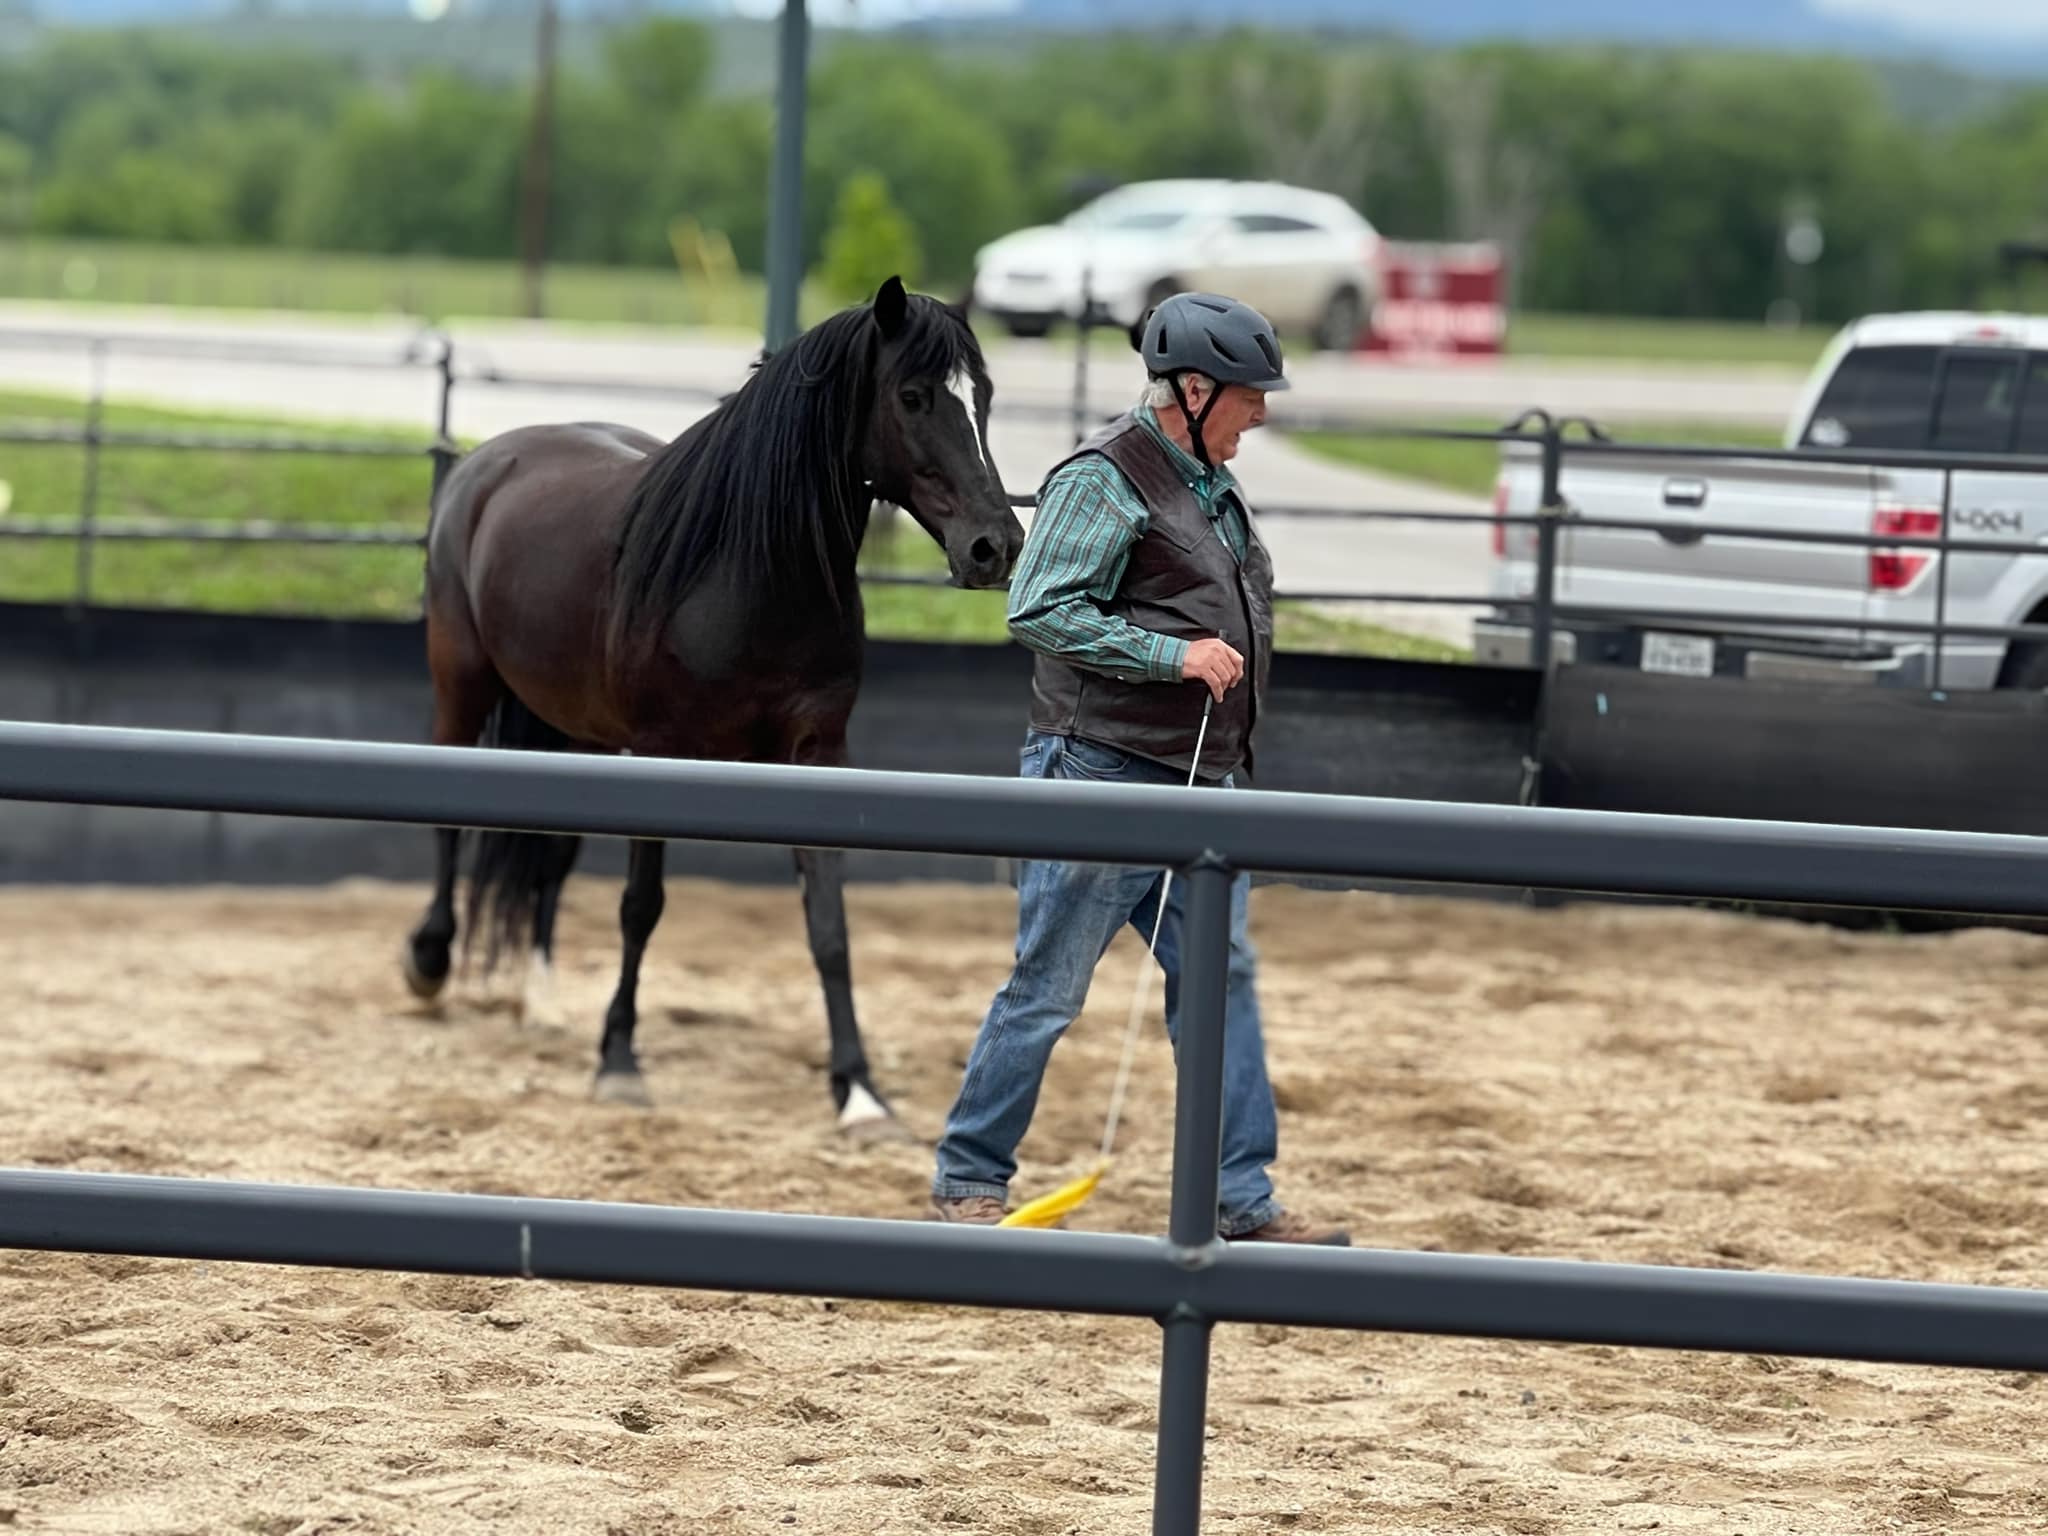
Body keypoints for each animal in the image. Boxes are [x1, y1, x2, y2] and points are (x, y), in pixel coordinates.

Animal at [398, 275, 1024, 1137]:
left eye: (985, 395)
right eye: (914, 396)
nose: (996, 548)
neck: (748, 573)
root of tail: (485, 465)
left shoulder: (818, 755)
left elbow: (828, 923)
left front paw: (858, 1090)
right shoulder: (664, 751)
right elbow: (641, 905)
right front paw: (620, 1061)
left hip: (575, 732)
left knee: (549, 856)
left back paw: (542, 1000)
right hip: (463, 686)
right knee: (449, 825)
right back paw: (429, 964)